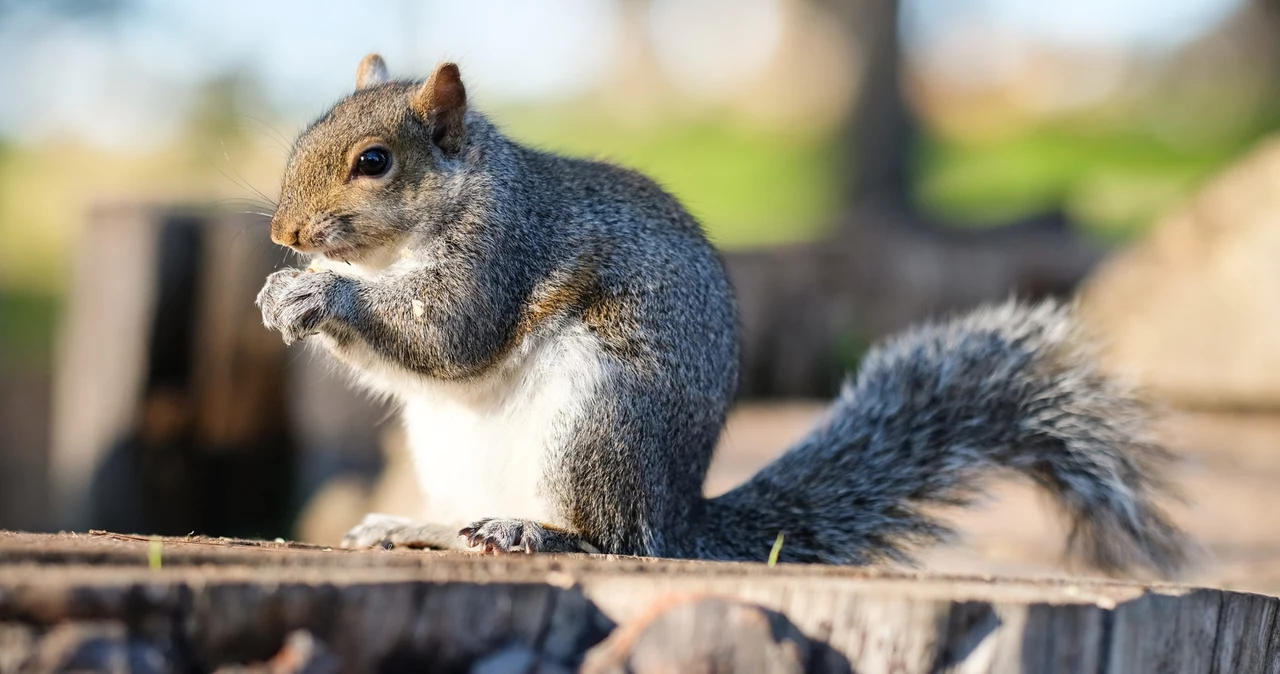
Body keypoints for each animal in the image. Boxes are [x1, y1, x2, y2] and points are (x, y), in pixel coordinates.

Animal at [254, 55, 1192, 578]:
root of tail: (682, 514)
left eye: (374, 162)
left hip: (600, 420)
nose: (283, 234)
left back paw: (535, 530)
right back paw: (420, 528)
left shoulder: (503, 250)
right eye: (300, 137)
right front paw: (284, 290)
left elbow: (449, 332)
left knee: (615, 542)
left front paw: (319, 294)